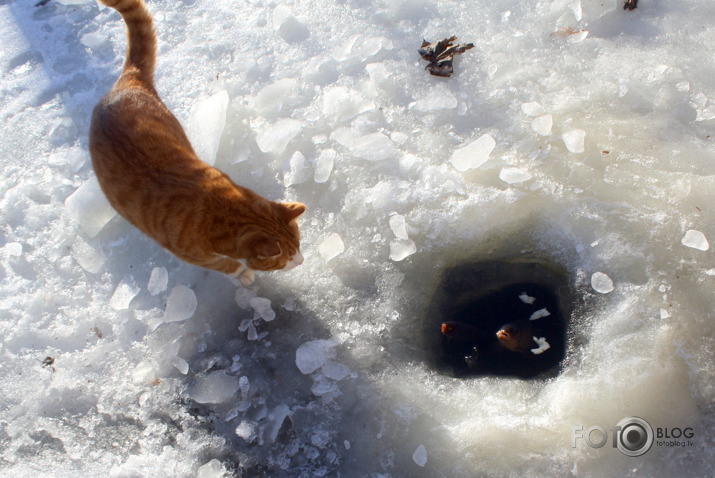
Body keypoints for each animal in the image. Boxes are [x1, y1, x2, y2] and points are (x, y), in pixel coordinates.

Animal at [89, 0, 304, 284]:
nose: (301, 260)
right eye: (285, 260)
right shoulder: (190, 253)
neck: (220, 207)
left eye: (298, 244)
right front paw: (242, 274)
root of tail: (128, 80)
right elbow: (224, 264)